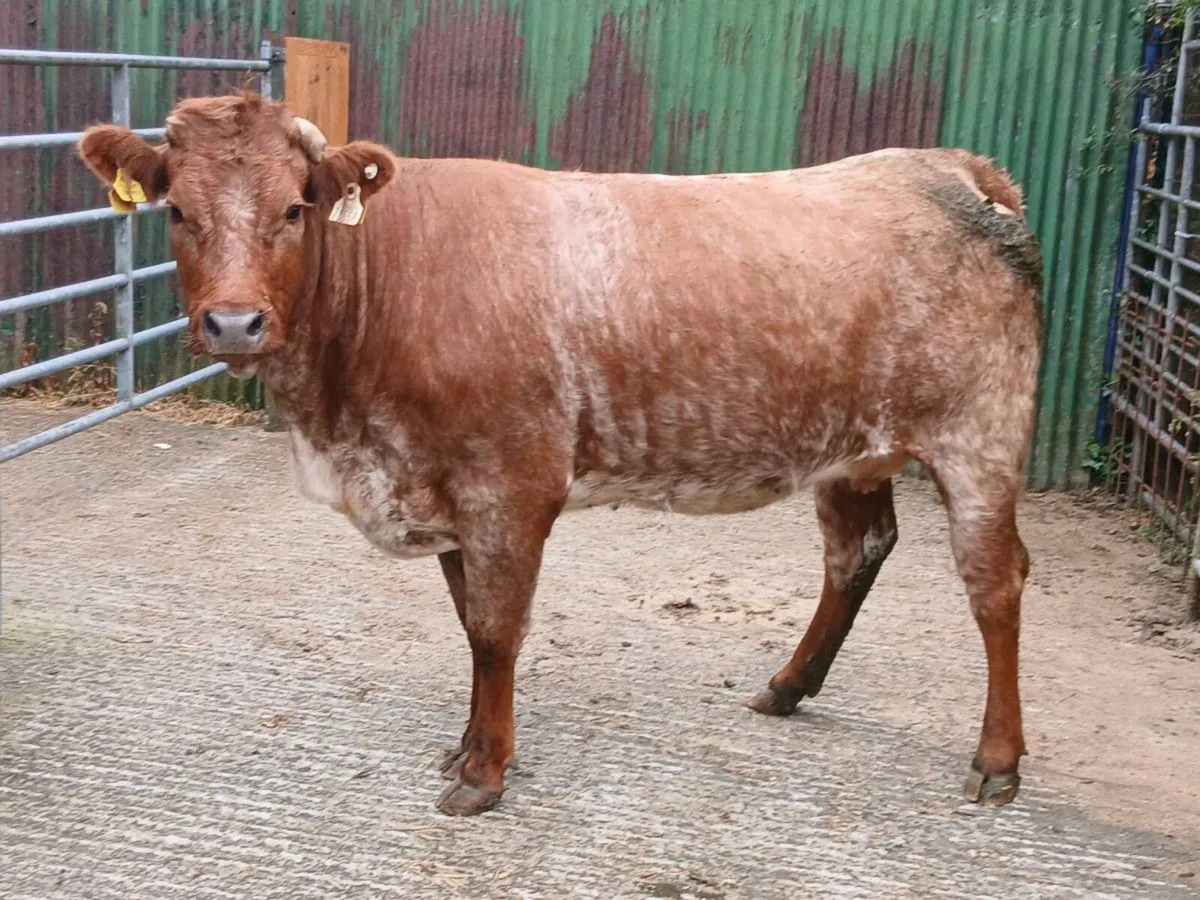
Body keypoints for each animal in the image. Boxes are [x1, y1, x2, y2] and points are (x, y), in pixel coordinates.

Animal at [78, 91, 1043, 817]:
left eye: (293, 207)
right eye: (176, 211)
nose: (234, 322)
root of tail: (949, 166)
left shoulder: (510, 482)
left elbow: (497, 630)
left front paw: (484, 773)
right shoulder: (447, 488)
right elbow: (470, 625)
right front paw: (466, 747)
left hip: (980, 437)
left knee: (995, 582)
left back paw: (997, 760)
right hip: (851, 450)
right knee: (857, 553)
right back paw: (787, 686)